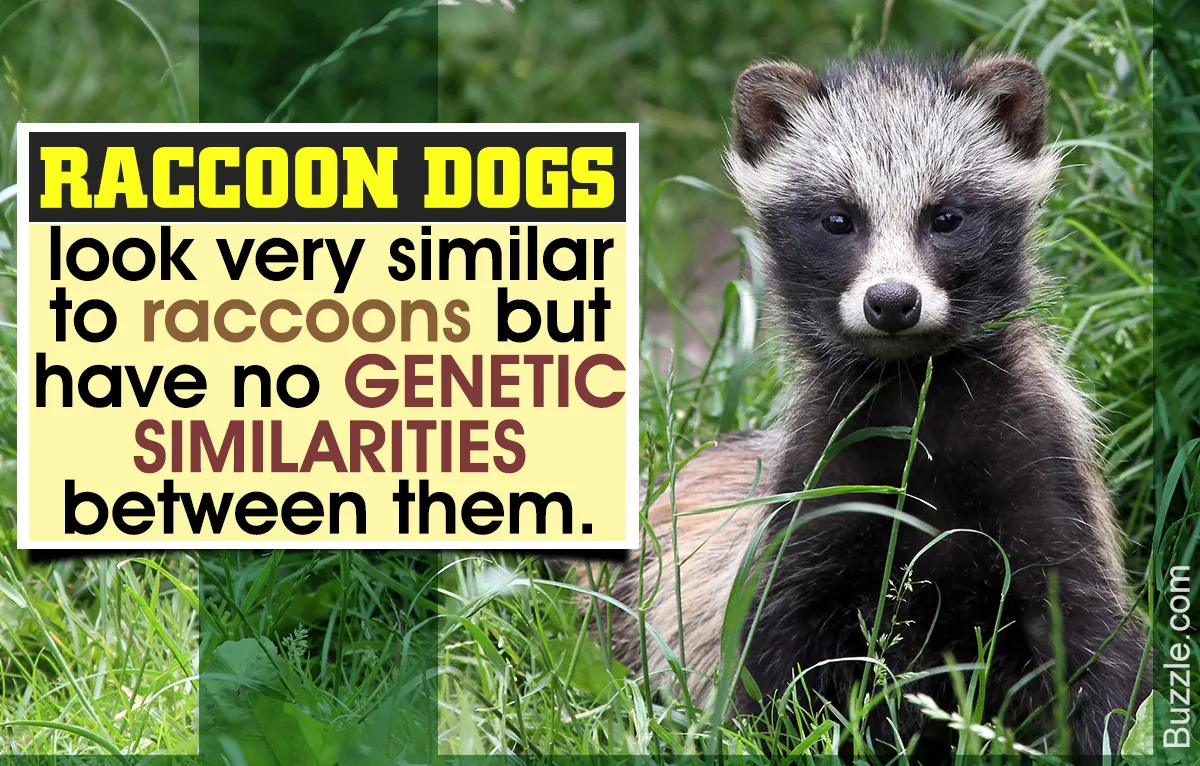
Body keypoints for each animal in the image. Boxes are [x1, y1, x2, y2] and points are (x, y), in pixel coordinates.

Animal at [593, 54, 1150, 758]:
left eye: (946, 217)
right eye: (838, 219)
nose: (891, 301)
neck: (912, 389)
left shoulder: (1043, 467)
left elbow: (1088, 633)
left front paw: (1102, 731)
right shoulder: (816, 485)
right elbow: (769, 647)